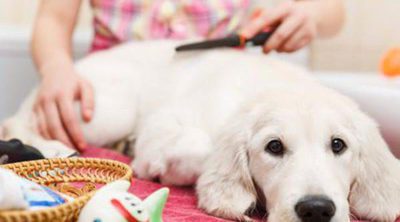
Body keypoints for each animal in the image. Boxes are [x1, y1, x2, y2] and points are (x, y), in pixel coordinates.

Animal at [0, 41, 400, 220]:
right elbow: (199, 148)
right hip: (106, 109)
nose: (316, 209)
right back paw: (50, 147)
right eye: (273, 147)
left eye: (338, 145)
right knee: (22, 120)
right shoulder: (164, 127)